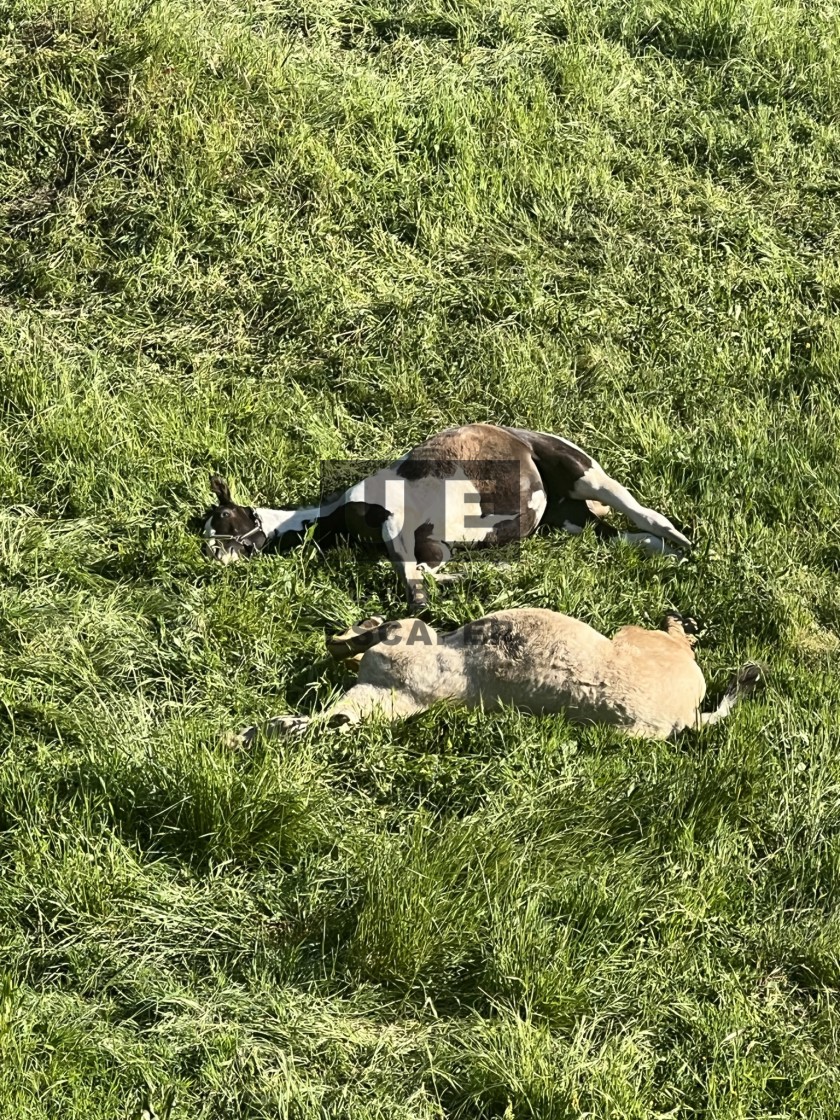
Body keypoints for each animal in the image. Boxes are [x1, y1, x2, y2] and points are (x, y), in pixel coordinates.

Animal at [203, 421, 689, 613]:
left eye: (224, 516)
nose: (212, 555)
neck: (342, 511)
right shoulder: (435, 546)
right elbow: (430, 570)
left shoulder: (396, 521)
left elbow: (413, 579)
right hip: (569, 518)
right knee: (628, 536)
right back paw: (668, 553)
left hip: (583, 474)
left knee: (645, 513)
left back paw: (684, 542)